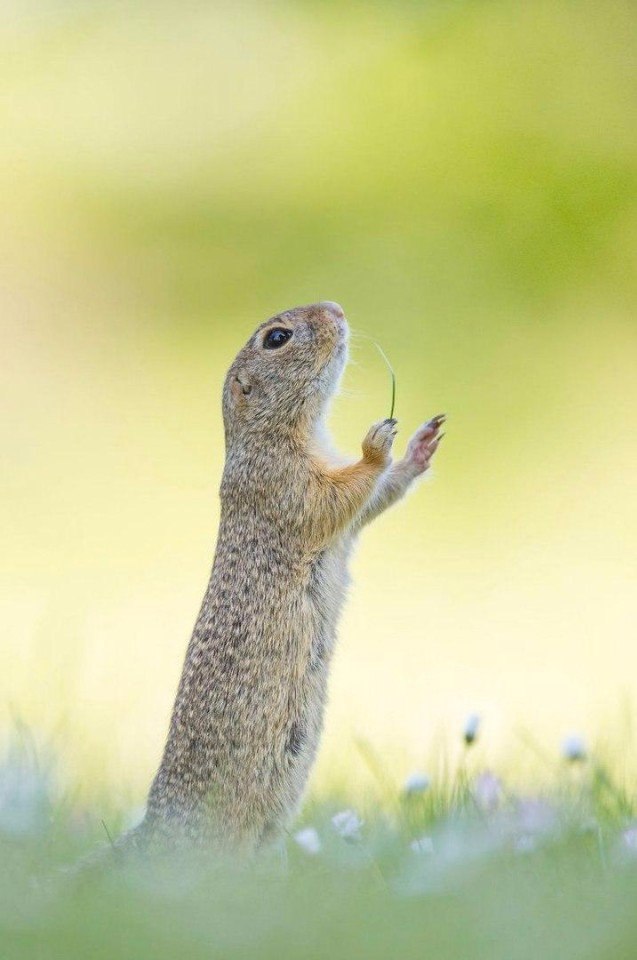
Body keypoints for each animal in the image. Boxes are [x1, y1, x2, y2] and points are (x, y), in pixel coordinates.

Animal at [135, 302, 442, 856]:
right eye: (276, 338)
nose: (337, 308)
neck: (284, 433)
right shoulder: (283, 483)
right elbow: (336, 498)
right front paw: (377, 445)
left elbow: (370, 502)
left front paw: (419, 446)